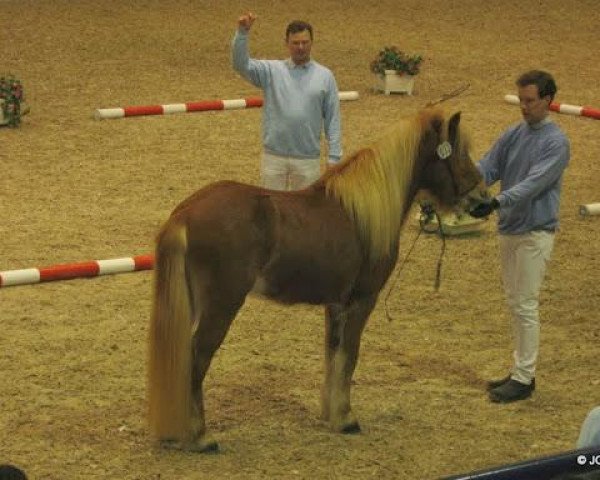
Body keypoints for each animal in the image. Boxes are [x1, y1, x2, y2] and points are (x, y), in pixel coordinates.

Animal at [148, 107, 486, 452]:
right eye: (460, 153)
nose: (485, 202)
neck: (359, 213)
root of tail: (184, 214)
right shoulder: (362, 300)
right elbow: (350, 356)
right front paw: (346, 418)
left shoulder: (335, 305)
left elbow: (332, 354)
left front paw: (329, 413)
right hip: (221, 306)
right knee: (195, 359)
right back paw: (200, 436)